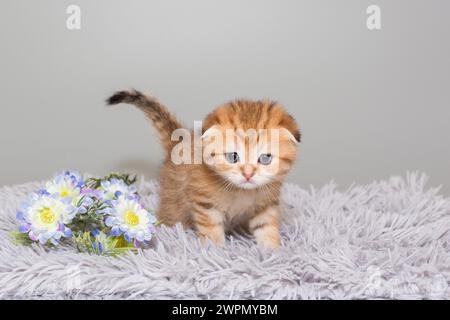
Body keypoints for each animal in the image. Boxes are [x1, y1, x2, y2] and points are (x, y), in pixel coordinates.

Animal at [107, 90, 300, 250]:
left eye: (265, 158)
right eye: (233, 157)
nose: (248, 174)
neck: (240, 192)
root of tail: (178, 142)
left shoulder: (266, 204)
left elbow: (267, 227)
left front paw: (271, 251)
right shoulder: (205, 203)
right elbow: (211, 228)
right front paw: (214, 251)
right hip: (174, 203)